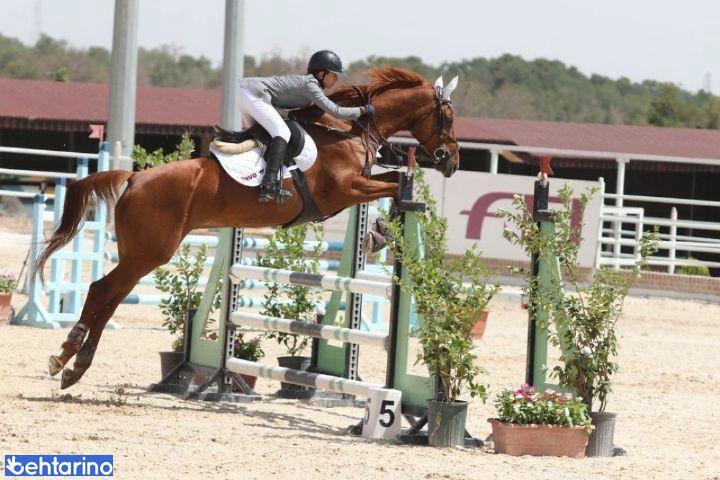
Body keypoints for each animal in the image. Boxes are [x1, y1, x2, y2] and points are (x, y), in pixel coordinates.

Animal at [36, 66, 461, 389]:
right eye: (449, 117)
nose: (451, 161)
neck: (350, 133)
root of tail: (135, 177)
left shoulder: (355, 188)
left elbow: (395, 183)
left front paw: (378, 233)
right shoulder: (345, 190)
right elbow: (397, 185)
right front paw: (381, 231)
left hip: (140, 253)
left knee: (110, 297)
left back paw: (72, 364)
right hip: (149, 253)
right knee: (102, 291)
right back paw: (68, 359)